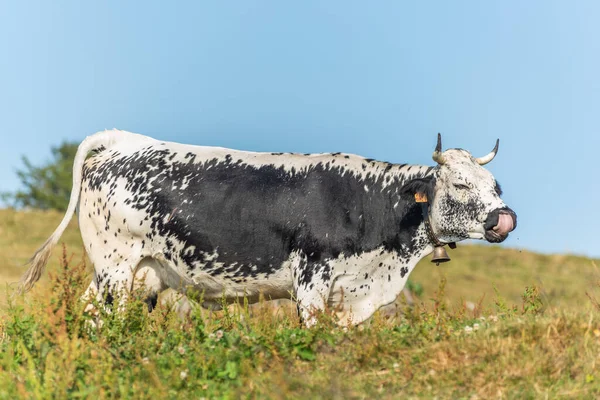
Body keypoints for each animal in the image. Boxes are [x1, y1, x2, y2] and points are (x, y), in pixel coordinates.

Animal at [19, 130, 516, 326]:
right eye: (459, 183)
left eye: (496, 184)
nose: (504, 218)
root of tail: (124, 142)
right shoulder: (312, 277)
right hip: (115, 266)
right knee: (108, 317)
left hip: (138, 271)